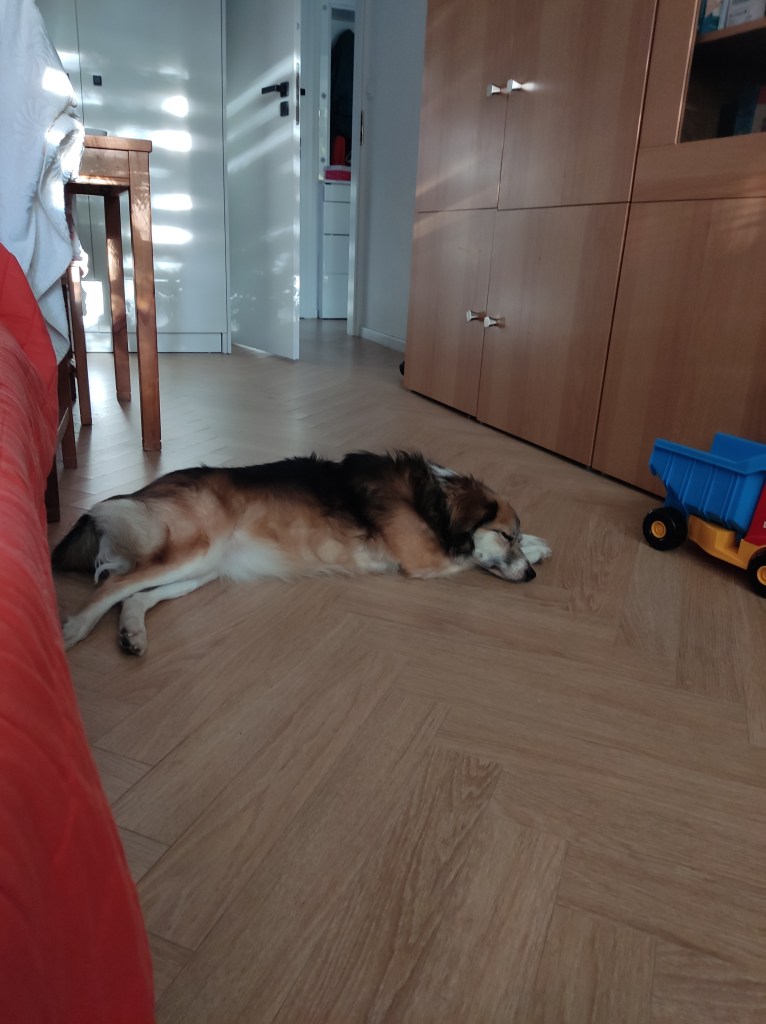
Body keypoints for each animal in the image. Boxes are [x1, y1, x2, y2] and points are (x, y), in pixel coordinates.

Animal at [52, 451, 551, 656]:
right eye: (504, 535)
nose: (531, 579)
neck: (432, 499)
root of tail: (142, 490)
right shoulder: (422, 556)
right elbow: (467, 555)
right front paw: (534, 547)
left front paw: (540, 545)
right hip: (193, 549)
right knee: (114, 586)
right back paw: (73, 630)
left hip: (204, 566)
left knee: (134, 596)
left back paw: (131, 634)